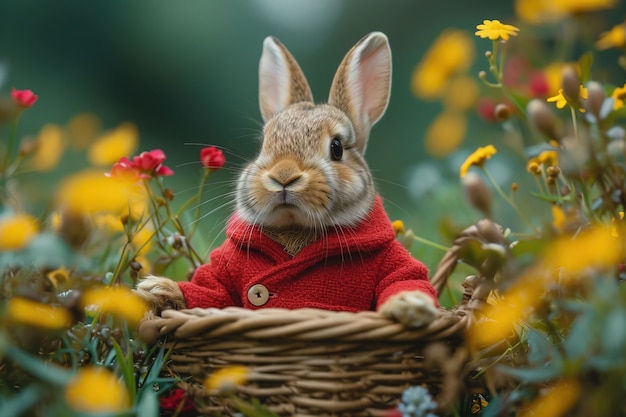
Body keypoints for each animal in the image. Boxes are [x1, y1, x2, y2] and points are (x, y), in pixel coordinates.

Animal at [135, 30, 438, 326]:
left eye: (337, 148)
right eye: (263, 144)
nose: (283, 176)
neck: (294, 226)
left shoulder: (392, 259)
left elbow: (404, 276)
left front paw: (410, 305)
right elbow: (211, 291)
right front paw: (156, 291)